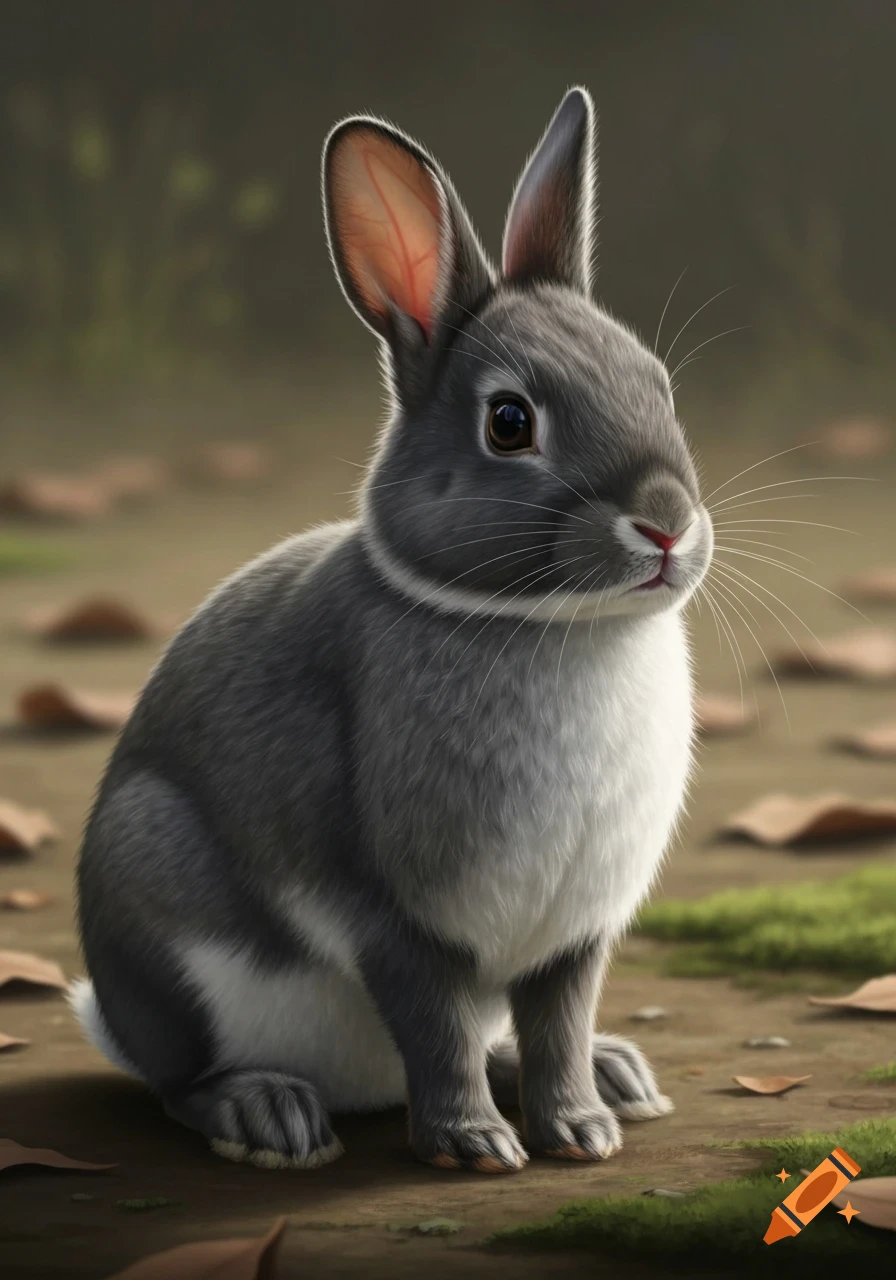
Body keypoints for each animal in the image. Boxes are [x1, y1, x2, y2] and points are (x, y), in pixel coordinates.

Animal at [72, 86, 714, 1175]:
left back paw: (620, 1075)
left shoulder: (573, 930)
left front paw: (579, 1126)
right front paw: (474, 1143)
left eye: (657, 384)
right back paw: (267, 1113)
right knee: (180, 1080)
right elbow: (434, 1021)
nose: (665, 522)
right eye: (509, 421)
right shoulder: (391, 913)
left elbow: (558, 1020)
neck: (543, 623)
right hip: (155, 900)